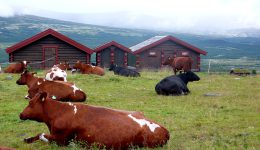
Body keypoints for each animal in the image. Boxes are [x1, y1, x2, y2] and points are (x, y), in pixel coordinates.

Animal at [20, 92, 171, 149]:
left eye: (31, 103)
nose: (21, 114)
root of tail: (164, 129)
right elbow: (36, 135)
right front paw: (27, 139)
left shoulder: (62, 139)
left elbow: (41, 134)